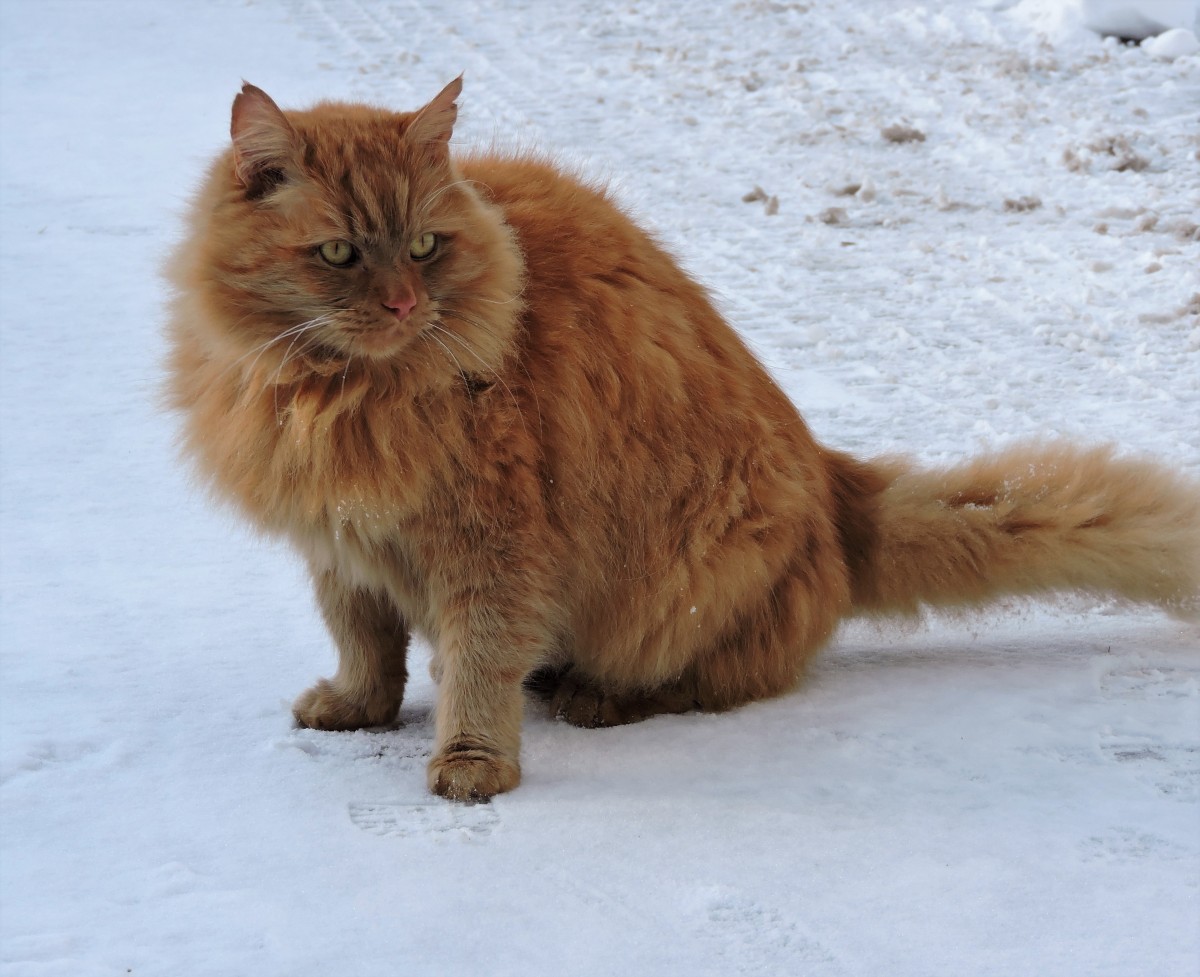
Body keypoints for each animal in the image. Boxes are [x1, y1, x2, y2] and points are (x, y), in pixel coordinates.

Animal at [164, 80, 1195, 801]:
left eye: (424, 246)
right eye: (340, 254)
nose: (403, 305)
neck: (338, 396)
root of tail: (836, 490)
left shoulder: (490, 543)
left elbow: (478, 662)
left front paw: (473, 762)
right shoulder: (343, 545)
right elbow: (366, 642)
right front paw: (359, 709)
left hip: (701, 562)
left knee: (700, 677)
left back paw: (593, 695)